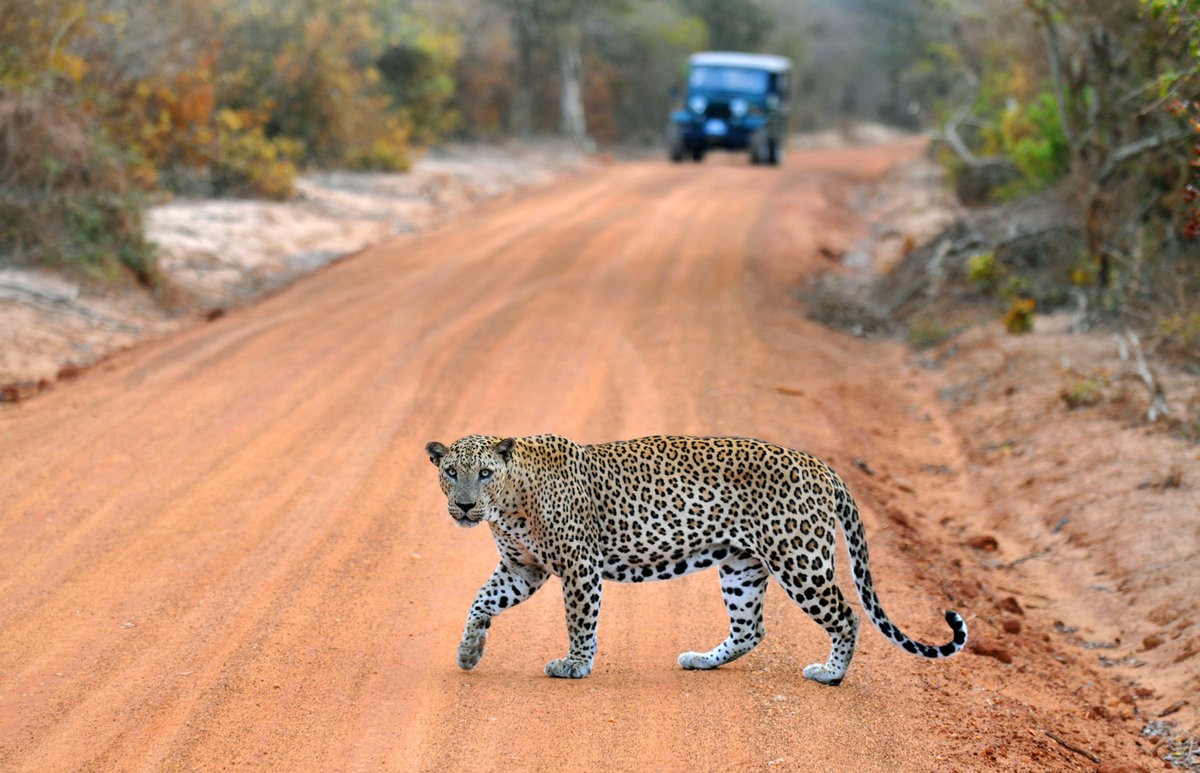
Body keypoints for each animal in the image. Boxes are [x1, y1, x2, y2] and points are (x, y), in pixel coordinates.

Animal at [427, 434, 969, 681]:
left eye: (485, 473)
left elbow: (580, 621)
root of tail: (822, 466)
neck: (510, 503)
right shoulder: (523, 569)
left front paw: (575, 665)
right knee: (751, 628)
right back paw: (703, 660)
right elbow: (481, 601)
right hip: (741, 566)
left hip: (800, 559)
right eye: (451, 471)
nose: (466, 506)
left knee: (847, 614)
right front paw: (469, 651)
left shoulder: (579, 566)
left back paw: (830, 674)